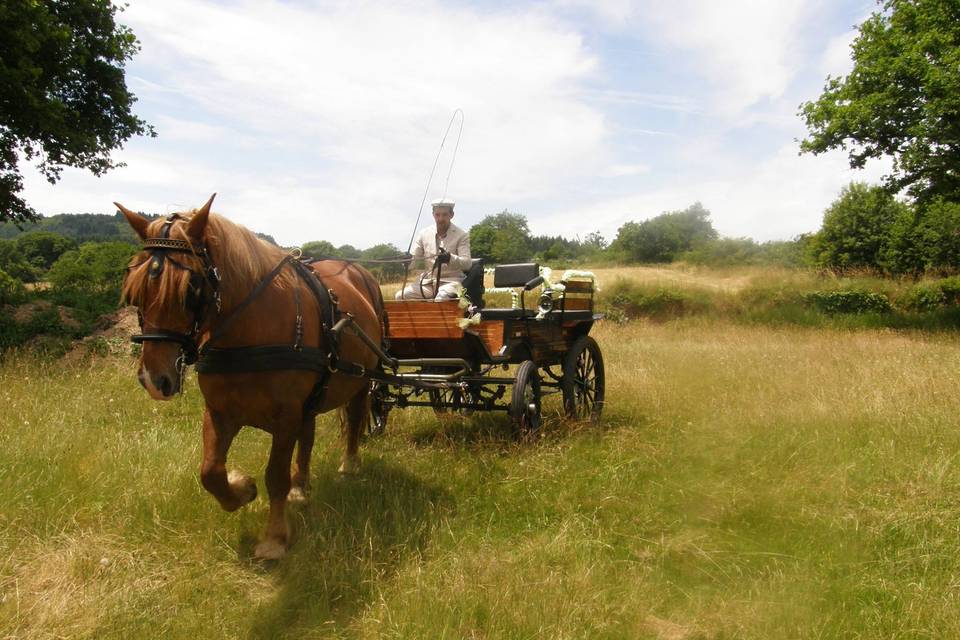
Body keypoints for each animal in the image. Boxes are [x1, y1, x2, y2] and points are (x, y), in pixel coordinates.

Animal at [112, 196, 382, 560]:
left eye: (190, 289)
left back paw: (349, 464)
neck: (250, 331)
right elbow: (210, 472)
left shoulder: (285, 417)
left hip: (363, 380)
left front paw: (275, 539)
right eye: (135, 289)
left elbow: (276, 476)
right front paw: (242, 489)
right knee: (308, 435)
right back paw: (301, 487)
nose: (155, 380)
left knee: (354, 417)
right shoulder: (220, 411)